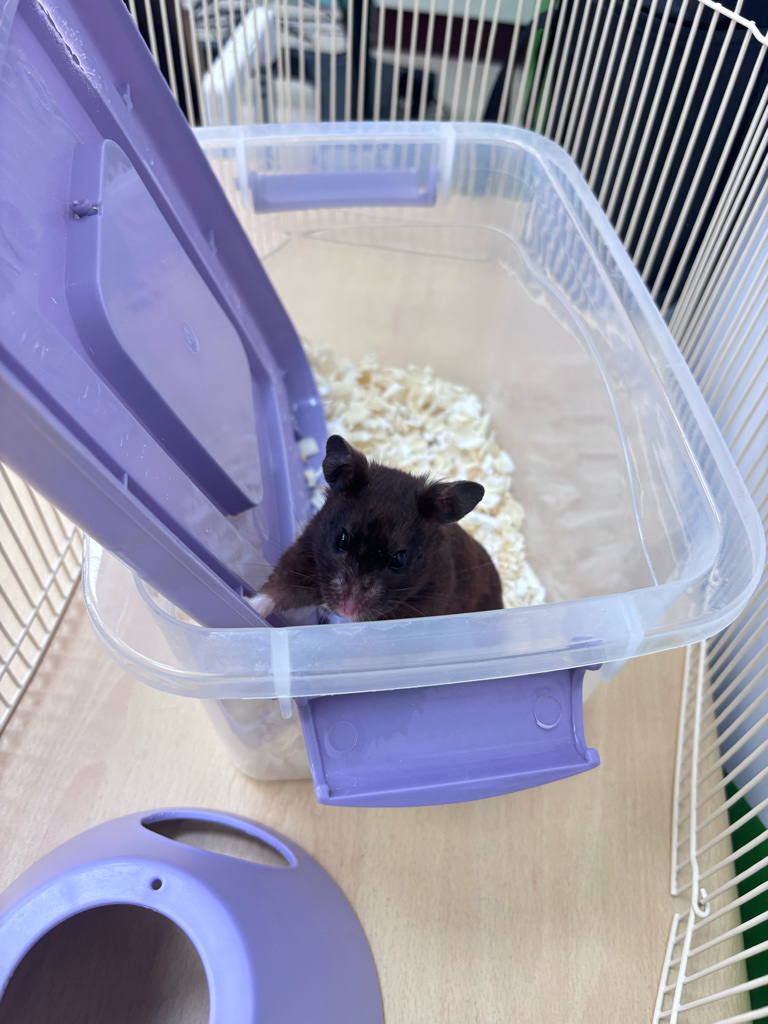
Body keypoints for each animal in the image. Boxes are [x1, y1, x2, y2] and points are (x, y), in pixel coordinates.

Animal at [252, 435, 503, 622]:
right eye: (341, 540)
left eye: (400, 559)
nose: (347, 610)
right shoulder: (304, 557)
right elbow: (277, 591)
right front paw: (248, 609)